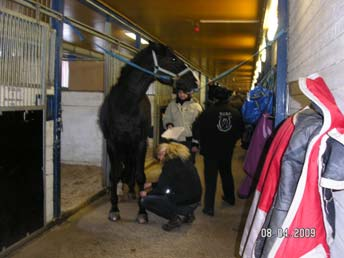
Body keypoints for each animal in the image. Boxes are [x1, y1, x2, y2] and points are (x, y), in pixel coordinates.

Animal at [98, 41, 198, 223]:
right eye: (173, 59)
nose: (194, 82)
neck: (125, 105)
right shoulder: (113, 143)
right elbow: (114, 175)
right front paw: (114, 209)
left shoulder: (140, 143)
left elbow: (140, 175)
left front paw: (142, 212)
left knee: (132, 167)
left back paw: (131, 190)